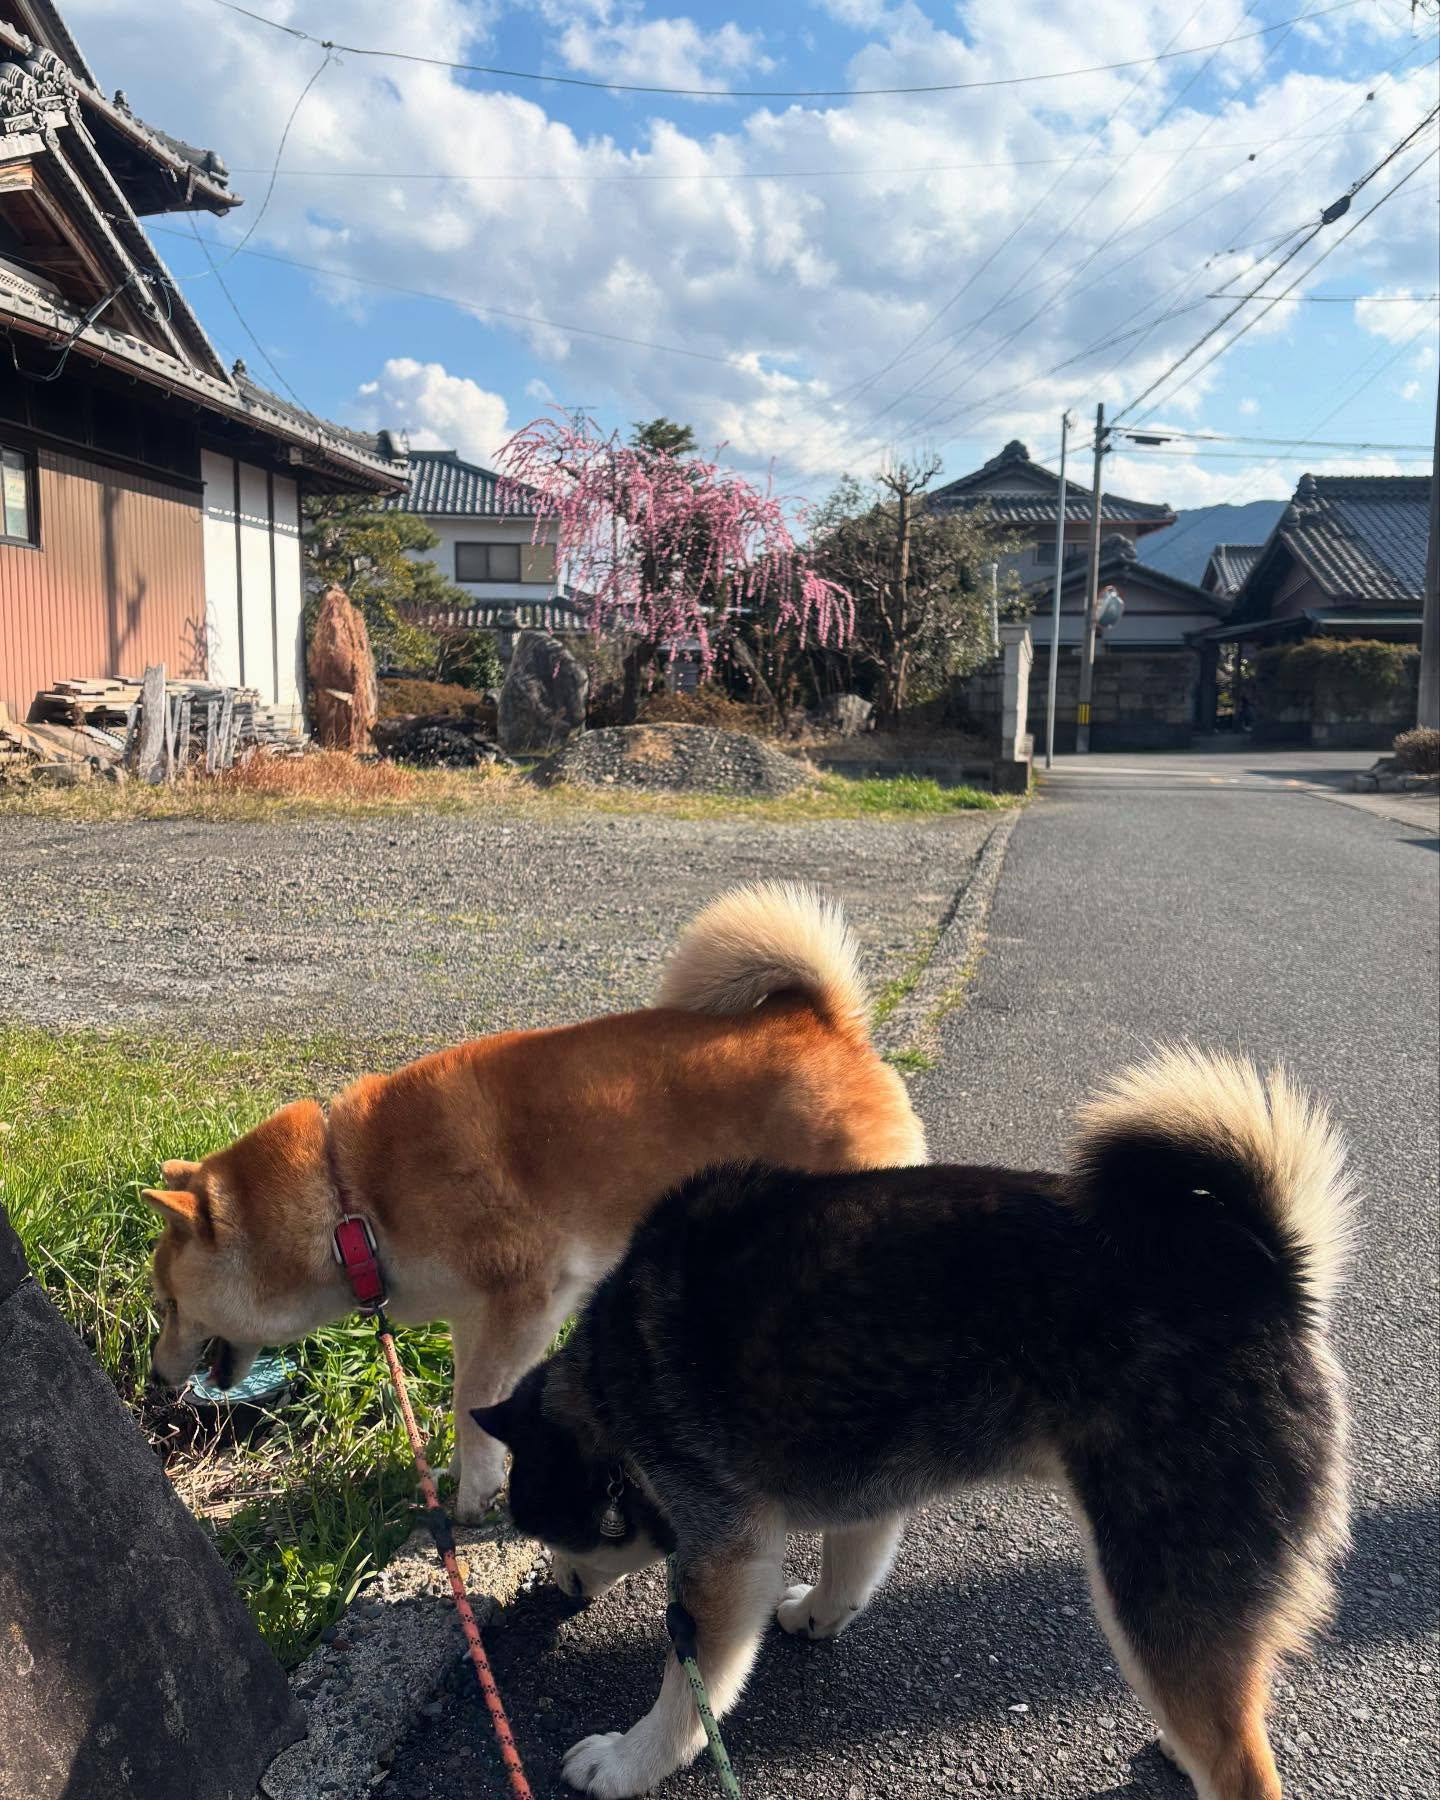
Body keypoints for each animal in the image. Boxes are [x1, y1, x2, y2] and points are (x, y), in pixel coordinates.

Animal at [478, 1051, 1353, 1792]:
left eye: (547, 1529)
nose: (557, 1588)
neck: (610, 1383)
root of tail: (1269, 1279)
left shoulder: (722, 1547)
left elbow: (690, 1687)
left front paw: (630, 1761)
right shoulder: (865, 1483)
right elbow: (851, 1563)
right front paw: (819, 1614)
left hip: (1158, 1579)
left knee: (1241, 1764)